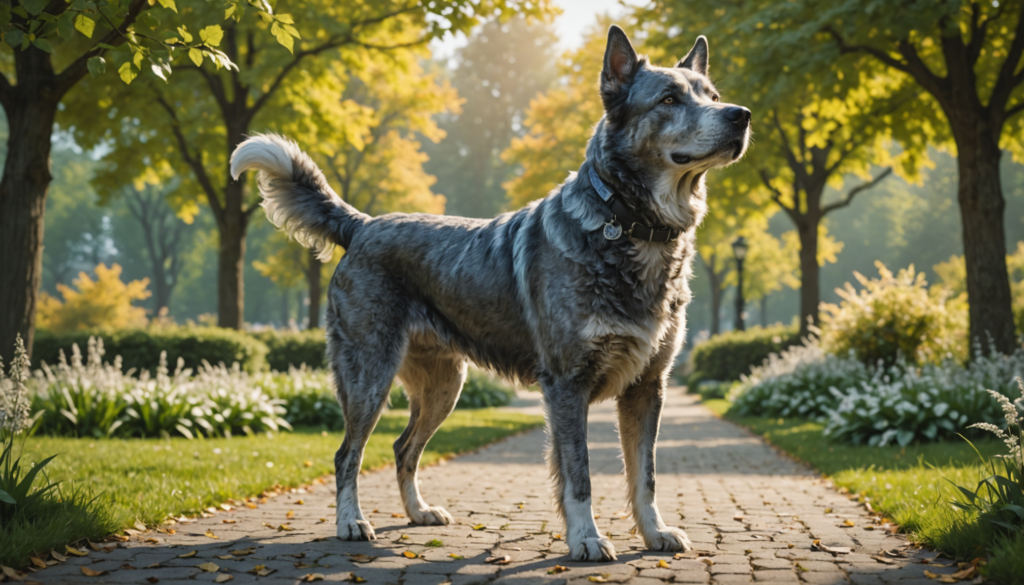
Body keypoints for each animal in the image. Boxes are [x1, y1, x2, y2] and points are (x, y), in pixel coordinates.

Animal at [232, 25, 753, 561]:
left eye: (712, 97)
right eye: (669, 98)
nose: (741, 115)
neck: (628, 228)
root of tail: (363, 226)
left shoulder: (648, 386)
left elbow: (643, 475)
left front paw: (654, 533)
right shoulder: (567, 386)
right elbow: (579, 476)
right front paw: (586, 538)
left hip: (445, 386)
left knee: (403, 448)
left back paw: (419, 512)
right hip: (369, 376)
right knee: (346, 455)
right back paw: (351, 522)